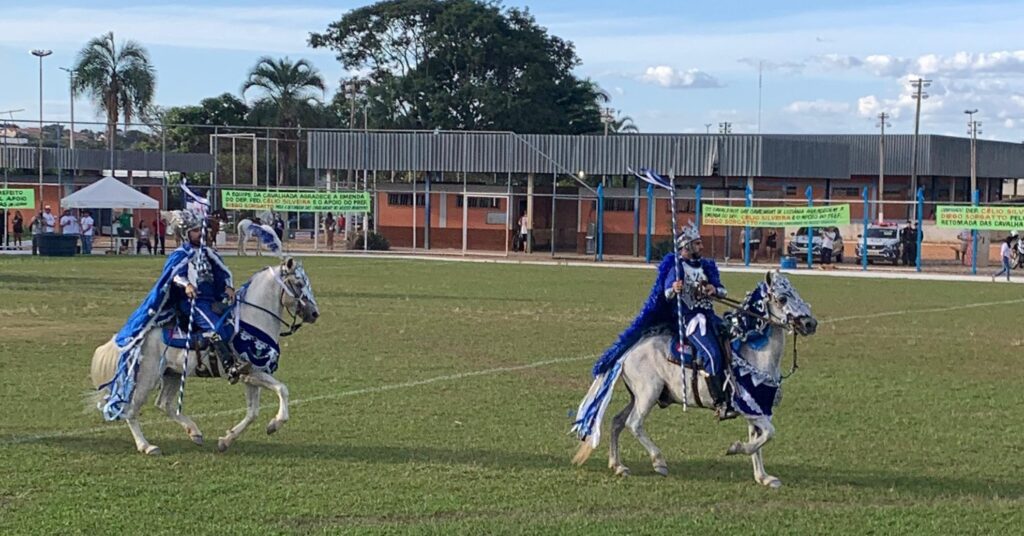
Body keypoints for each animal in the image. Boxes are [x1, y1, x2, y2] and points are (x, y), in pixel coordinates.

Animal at [88, 256, 319, 455]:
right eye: (299, 283)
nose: (314, 314)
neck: (253, 318)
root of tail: (139, 334)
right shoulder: (252, 372)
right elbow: (283, 389)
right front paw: (275, 424)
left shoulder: (251, 377)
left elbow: (252, 412)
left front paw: (226, 440)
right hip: (147, 377)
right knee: (131, 410)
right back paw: (147, 446)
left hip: (172, 374)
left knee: (164, 405)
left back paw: (195, 432)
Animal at [571, 270, 817, 488]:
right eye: (782, 298)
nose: (810, 324)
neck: (755, 356)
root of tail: (629, 349)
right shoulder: (748, 407)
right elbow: (768, 434)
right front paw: (735, 448)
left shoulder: (757, 409)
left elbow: (760, 441)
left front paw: (763, 478)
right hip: (648, 393)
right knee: (634, 423)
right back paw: (658, 462)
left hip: (638, 397)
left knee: (616, 422)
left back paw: (618, 466)